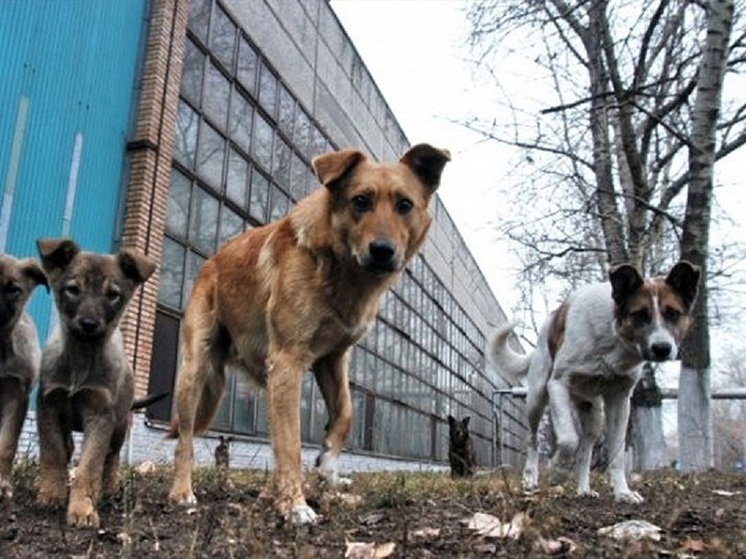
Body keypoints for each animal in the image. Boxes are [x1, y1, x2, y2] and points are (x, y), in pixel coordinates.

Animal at [35, 238, 155, 528]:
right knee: (68, 447)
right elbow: (53, 453)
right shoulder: (48, 406)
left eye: (113, 295)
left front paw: (82, 509)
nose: (89, 324)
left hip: (120, 426)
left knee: (111, 459)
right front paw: (51, 494)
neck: (81, 358)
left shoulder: (100, 416)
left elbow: (89, 467)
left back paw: (108, 489)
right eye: (73, 290)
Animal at [167, 142, 448, 524]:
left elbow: (345, 412)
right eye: (361, 201)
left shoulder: (332, 360)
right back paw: (183, 493)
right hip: (196, 369)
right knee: (185, 438)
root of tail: (210, 262)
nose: (382, 251)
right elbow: (291, 443)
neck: (338, 270)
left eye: (405, 205)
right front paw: (295, 505)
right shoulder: (288, 361)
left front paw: (328, 464)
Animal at [494, 262, 696, 504]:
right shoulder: (558, 385)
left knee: (585, 450)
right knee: (532, 440)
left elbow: (616, 454)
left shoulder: (620, 400)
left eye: (673, 314)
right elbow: (568, 439)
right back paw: (530, 478)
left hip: (592, 414)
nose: (662, 348)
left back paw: (583, 489)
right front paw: (557, 470)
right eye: (639, 315)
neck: (613, 337)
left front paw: (623, 492)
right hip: (537, 398)